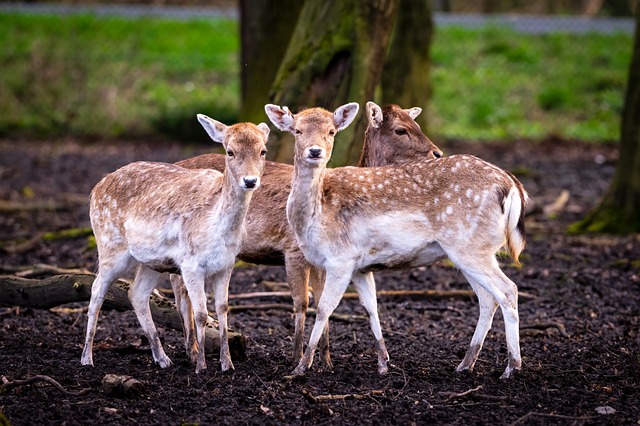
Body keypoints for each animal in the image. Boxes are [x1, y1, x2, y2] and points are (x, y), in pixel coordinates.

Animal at [80, 114, 270, 372]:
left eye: (263, 151)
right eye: (230, 151)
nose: (250, 181)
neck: (217, 229)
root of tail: (95, 189)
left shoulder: (227, 264)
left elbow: (222, 309)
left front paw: (227, 364)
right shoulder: (190, 263)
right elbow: (200, 313)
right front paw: (201, 366)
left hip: (151, 262)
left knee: (136, 293)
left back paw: (162, 359)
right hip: (109, 246)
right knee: (97, 290)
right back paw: (87, 358)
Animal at [169, 101, 440, 368]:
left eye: (416, 123)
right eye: (400, 130)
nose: (437, 154)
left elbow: (322, 301)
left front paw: (326, 361)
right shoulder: (293, 249)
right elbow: (303, 302)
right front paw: (297, 358)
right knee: (182, 288)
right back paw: (193, 350)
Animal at [264, 102, 528, 380]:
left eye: (331, 131)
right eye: (297, 130)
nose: (315, 151)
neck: (314, 218)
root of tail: (513, 186)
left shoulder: (340, 259)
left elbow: (325, 308)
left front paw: (301, 367)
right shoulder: (359, 267)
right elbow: (371, 307)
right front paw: (383, 363)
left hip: (471, 247)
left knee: (508, 290)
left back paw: (511, 367)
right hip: (471, 252)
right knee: (487, 299)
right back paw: (466, 363)